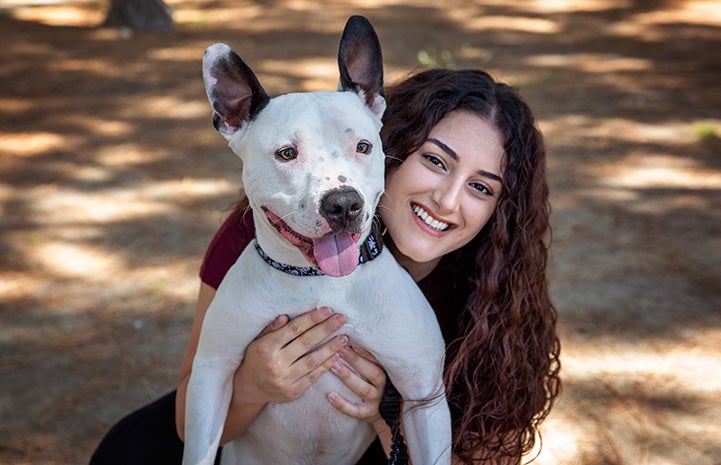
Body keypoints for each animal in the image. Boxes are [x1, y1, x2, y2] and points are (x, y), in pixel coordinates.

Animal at [181, 15, 450, 464]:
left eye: (363, 146)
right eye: (287, 154)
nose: (343, 204)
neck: (318, 282)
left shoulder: (422, 395)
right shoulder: (210, 376)